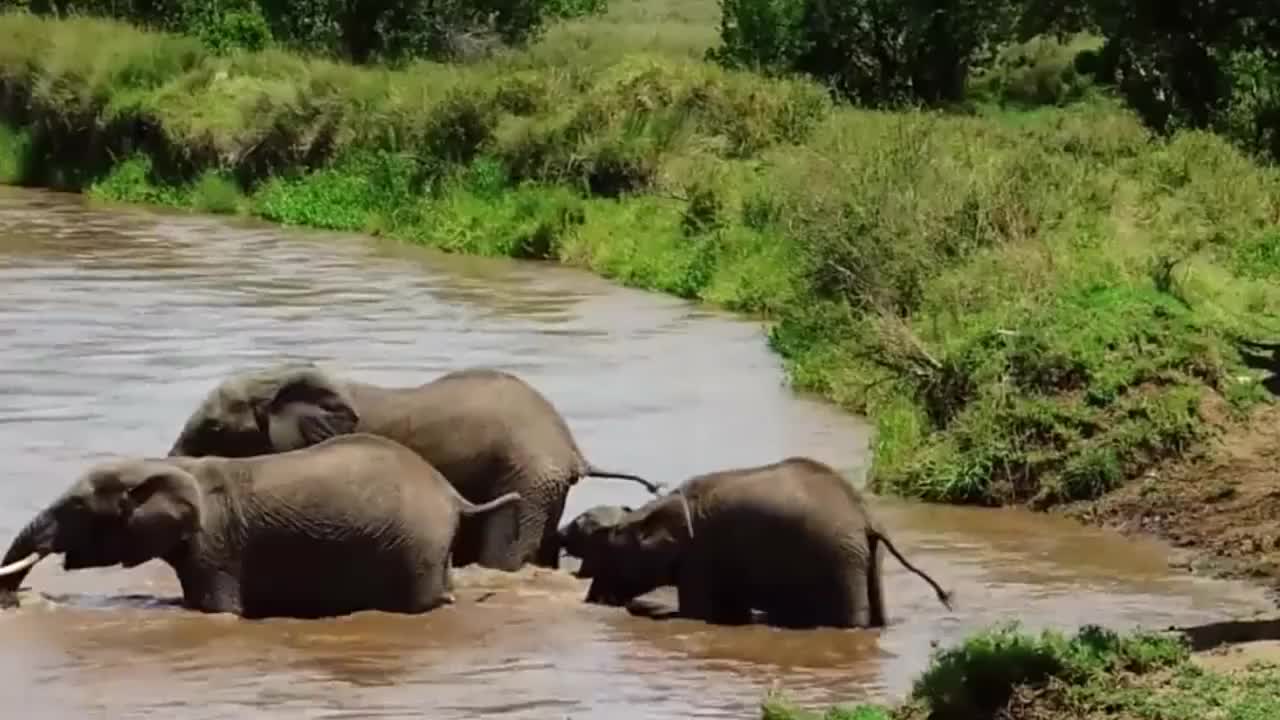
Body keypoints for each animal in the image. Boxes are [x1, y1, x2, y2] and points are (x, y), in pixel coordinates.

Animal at [0, 433, 523, 619]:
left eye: (76, 508)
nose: (15, 602)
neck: (161, 469)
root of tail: (453, 495)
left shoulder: (216, 546)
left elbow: (217, 611)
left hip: (415, 544)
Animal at [567, 456, 954, 629]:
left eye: (613, 557)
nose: (595, 601)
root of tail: (867, 519)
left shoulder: (700, 556)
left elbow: (700, 613)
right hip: (865, 559)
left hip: (840, 559)